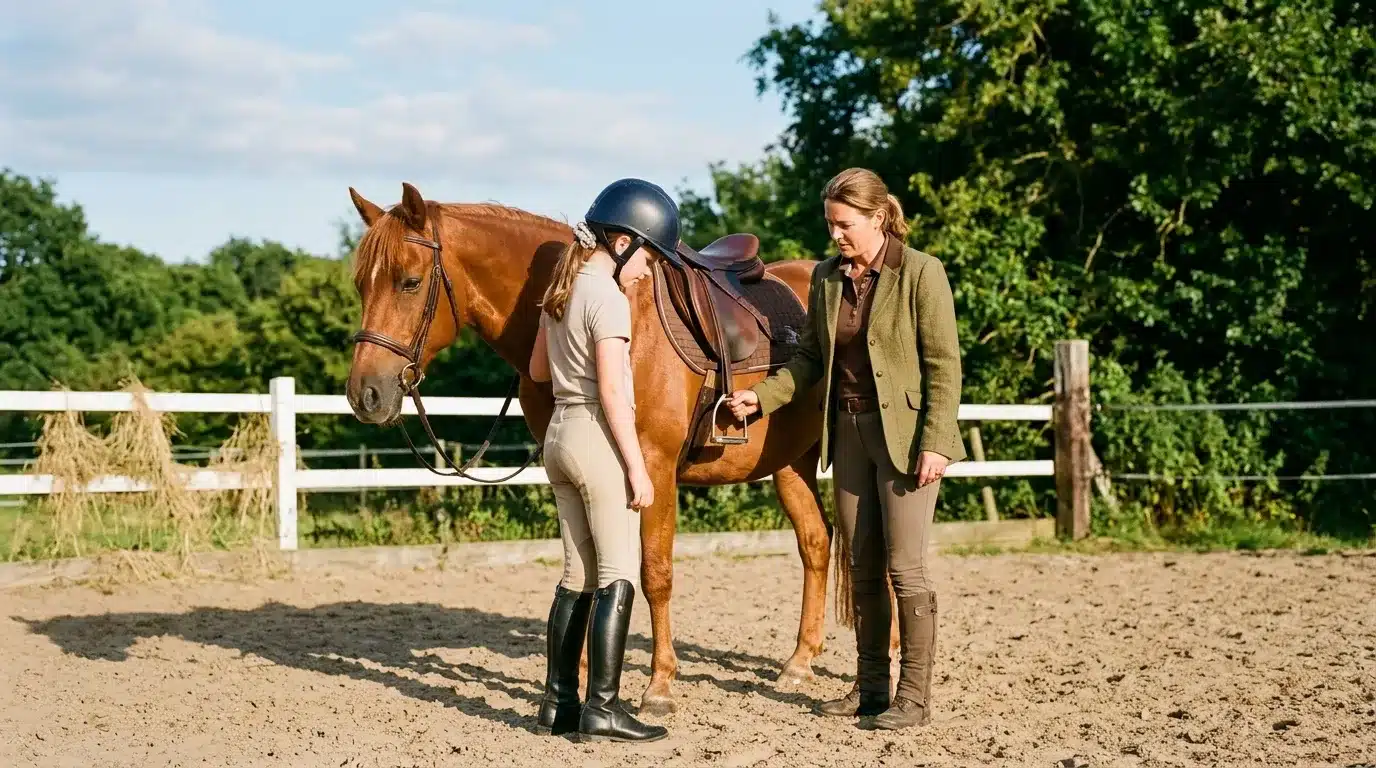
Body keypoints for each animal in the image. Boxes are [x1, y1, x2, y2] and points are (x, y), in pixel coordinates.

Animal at [342, 182, 852, 716]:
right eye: (361, 286)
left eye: (410, 282)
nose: (365, 395)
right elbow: (585, 570)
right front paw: (579, 678)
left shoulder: (654, 467)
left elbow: (654, 573)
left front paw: (659, 686)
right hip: (791, 464)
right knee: (816, 543)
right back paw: (799, 662)